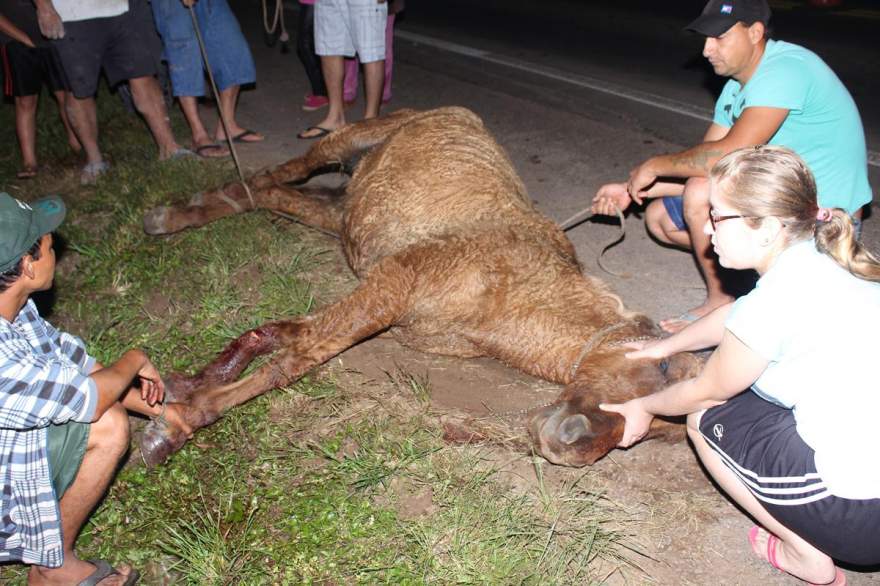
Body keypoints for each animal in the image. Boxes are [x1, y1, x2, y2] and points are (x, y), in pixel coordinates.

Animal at [139, 106, 700, 466]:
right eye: (663, 366)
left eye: (662, 426)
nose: (568, 442)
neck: (514, 291)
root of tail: (450, 112)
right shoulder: (391, 287)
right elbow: (296, 359)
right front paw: (176, 425)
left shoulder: (383, 294)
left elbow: (280, 336)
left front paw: (187, 386)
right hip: (339, 144)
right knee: (280, 173)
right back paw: (173, 214)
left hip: (343, 213)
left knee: (269, 193)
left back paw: (182, 213)